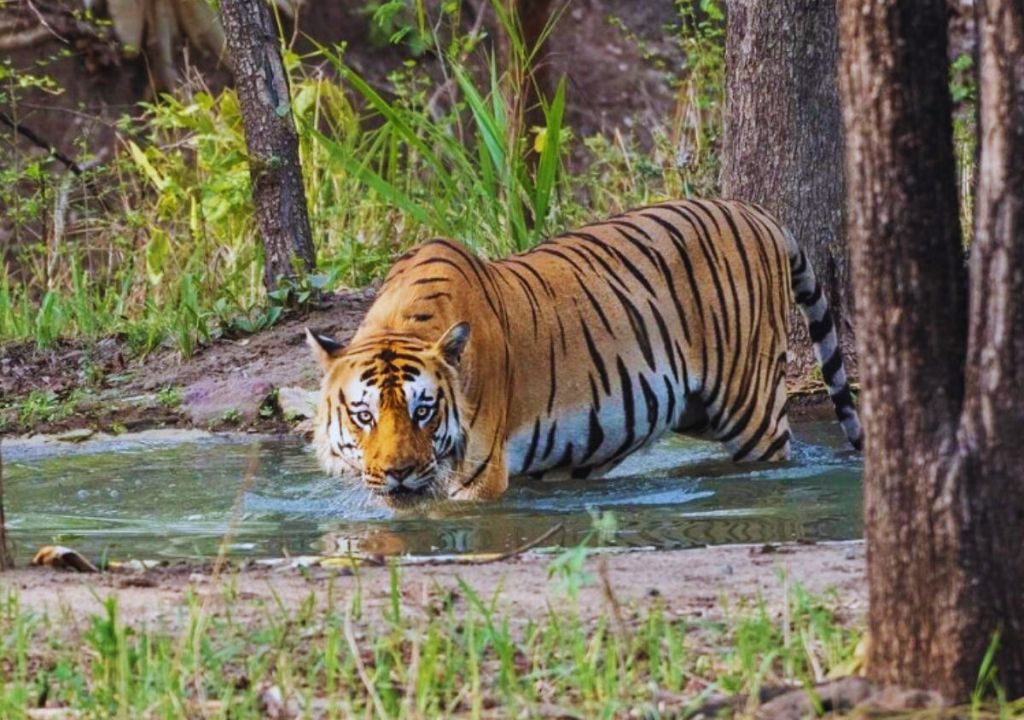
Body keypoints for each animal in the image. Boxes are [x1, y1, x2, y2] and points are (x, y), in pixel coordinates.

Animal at [307, 198, 862, 507]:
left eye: (423, 411)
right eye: (363, 415)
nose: (399, 472)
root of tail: (758, 214)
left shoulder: (478, 477)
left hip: (750, 408)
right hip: (695, 410)